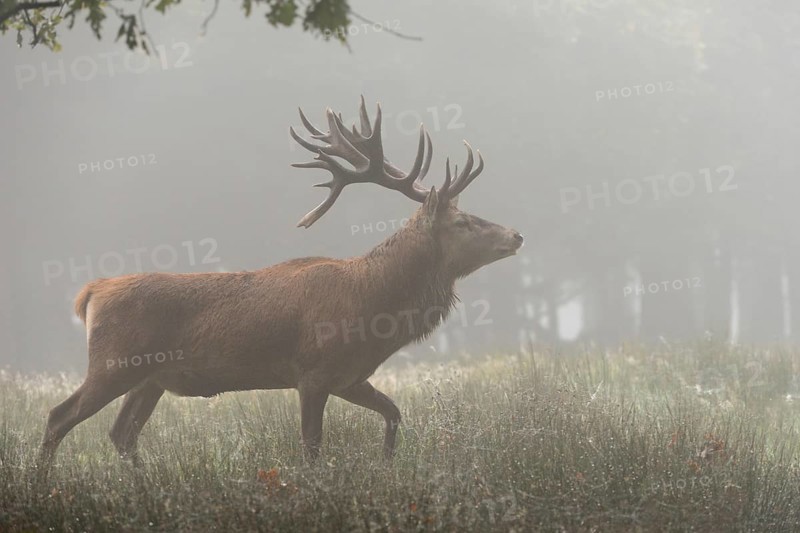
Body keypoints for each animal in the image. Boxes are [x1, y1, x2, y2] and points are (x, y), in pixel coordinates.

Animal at [37, 97, 523, 472]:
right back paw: (42, 485)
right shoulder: (313, 371)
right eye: (463, 222)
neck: (374, 308)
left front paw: (388, 468)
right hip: (113, 362)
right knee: (59, 416)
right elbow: (311, 448)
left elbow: (394, 414)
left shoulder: (350, 377)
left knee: (122, 433)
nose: (517, 235)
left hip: (150, 377)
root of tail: (91, 293)